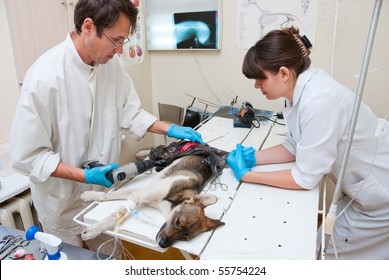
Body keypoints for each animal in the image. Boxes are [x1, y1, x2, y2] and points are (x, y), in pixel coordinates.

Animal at [80, 142, 229, 247]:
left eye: (184, 237)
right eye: (178, 221)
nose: (162, 245)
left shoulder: (141, 192)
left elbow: (111, 196)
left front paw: (89, 196)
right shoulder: (141, 193)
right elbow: (116, 214)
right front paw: (93, 230)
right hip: (163, 153)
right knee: (154, 150)